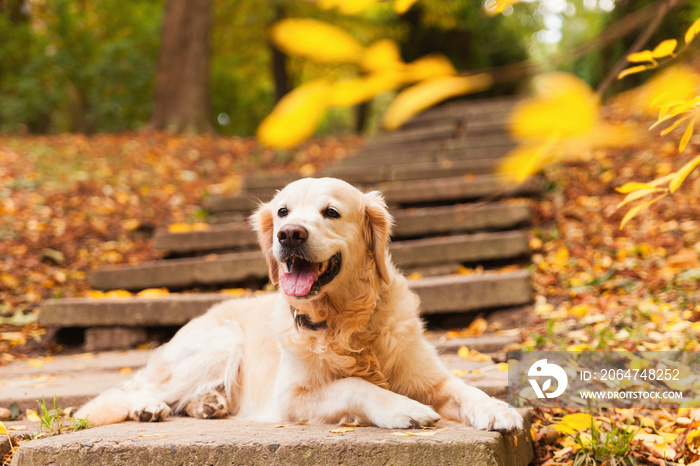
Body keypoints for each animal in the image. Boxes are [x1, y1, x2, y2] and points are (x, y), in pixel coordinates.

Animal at [79, 177, 524, 432]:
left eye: (331, 212)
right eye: (282, 211)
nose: (289, 234)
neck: (344, 322)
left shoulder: (430, 377)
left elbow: (464, 388)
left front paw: (497, 409)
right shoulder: (291, 398)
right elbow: (353, 384)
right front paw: (402, 407)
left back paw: (208, 404)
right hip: (221, 342)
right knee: (132, 390)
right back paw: (149, 407)